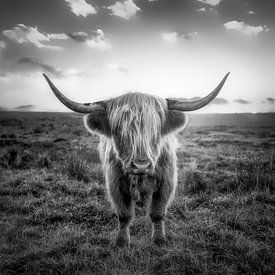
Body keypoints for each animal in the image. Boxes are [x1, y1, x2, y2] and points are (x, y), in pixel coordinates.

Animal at [43, 72, 231, 247]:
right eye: (119, 130)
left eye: (155, 130)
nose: (141, 165)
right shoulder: (115, 183)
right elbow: (124, 215)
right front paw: (121, 241)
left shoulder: (167, 182)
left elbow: (157, 213)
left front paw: (159, 240)